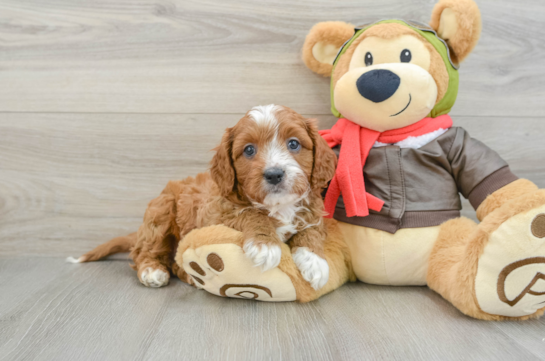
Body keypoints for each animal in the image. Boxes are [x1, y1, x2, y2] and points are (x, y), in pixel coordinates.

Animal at [71, 104, 336, 290]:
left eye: (294, 144)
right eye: (249, 149)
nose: (274, 174)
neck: (278, 206)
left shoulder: (312, 209)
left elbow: (312, 230)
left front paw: (315, 262)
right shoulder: (217, 213)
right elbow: (249, 213)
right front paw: (265, 244)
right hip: (161, 211)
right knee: (145, 252)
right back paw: (153, 271)